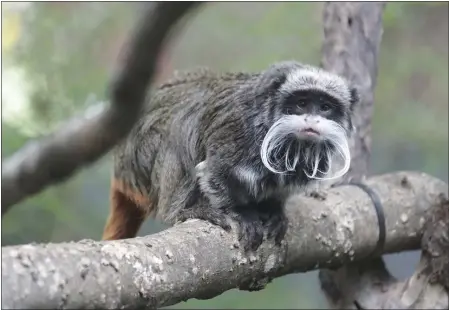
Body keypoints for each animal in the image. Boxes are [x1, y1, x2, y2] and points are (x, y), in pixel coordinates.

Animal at [101, 60, 356, 252]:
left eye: (325, 107)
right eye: (302, 103)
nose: (312, 119)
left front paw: (274, 209)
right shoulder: (236, 133)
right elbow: (213, 174)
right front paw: (241, 214)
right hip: (138, 160)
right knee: (180, 129)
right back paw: (181, 210)